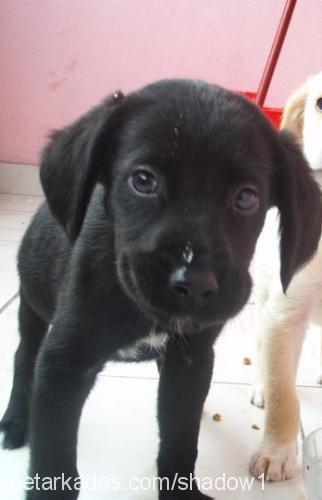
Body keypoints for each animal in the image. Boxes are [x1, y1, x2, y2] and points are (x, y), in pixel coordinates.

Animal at [1, 80, 322, 498]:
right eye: (143, 180)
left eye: (247, 197)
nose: (195, 282)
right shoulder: (63, 367)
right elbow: (53, 465)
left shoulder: (190, 361)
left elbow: (180, 440)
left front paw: (180, 492)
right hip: (32, 304)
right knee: (24, 356)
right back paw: (15, 421)